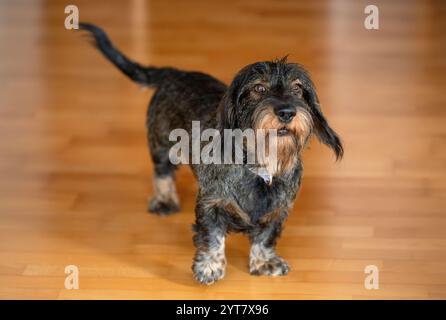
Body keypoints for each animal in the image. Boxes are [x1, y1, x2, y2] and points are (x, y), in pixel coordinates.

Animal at [79, 23, 342, 284]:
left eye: (298, 89)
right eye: (259, 87)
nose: (287, 112)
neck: (262, 166)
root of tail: (175, 73)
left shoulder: (278, 210)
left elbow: (265, 237)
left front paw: (264, 261)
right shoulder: (211, 203)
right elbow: (212, 237)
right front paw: (210, 266)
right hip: (161, 145)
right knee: (162, 173)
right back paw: (165, 200)